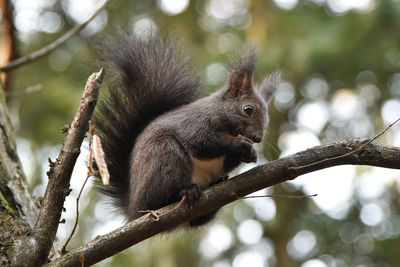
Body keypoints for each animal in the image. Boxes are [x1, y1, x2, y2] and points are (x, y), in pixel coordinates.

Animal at [94, 31, 280, 228]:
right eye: (248, 109)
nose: (258, 138)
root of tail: (133, 209)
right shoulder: (194, 123)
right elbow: (203, 142)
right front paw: (240, 144)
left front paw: (250, 154)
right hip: (164, 156)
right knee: (159, 198)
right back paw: (185, 192)